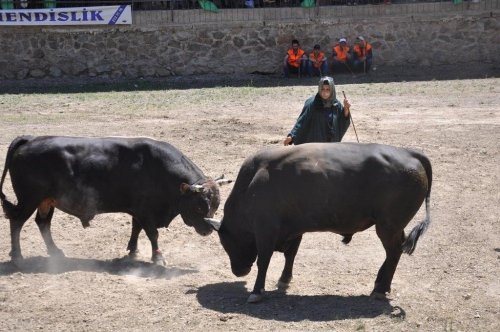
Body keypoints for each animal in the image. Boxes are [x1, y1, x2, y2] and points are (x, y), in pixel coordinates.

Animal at [0, 136, 230, 264]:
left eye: (215, 206)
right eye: (199, 207)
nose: (208, 230)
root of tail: (30, 140)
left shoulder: (138, 210)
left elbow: (136, 229)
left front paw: (133, 251)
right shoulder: (146, 211)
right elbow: (152, 234)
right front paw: (157, 257)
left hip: (47, 201)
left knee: (42, 223)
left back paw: (55, 252)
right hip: (29, 199)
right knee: (17, 222)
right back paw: (17, 256)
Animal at [207, 143, 434, 304]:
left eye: (226, 243)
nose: (238, 272)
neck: (251, 183)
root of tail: (410, 153)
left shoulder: (265, 231)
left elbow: (263, 261)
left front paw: (256, 291)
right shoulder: (294, 228)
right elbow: (291, 254)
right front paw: (284, 280)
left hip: (387, 227)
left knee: (393, 252)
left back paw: (380, 289)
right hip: (393, 227)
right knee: (394, 252)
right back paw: (380, 283)